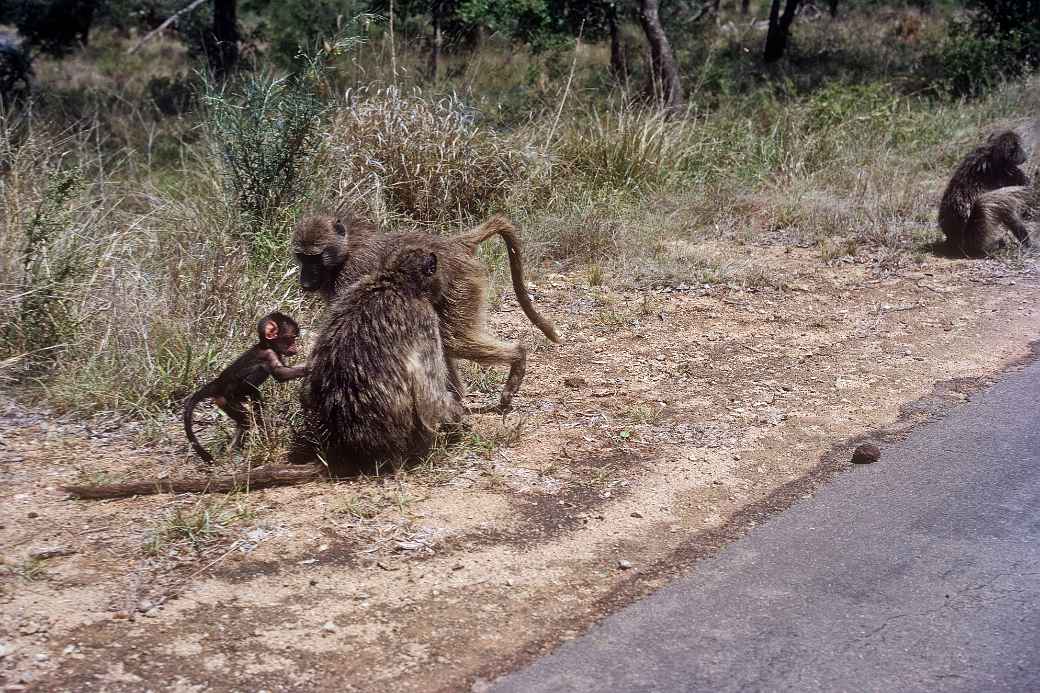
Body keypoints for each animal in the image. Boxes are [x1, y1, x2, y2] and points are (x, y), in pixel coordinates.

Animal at [183, 311, 308, 463]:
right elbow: (280, 374)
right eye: (290, 339)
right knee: (246, 415)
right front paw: (310, 366)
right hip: (227, 400)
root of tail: (217, 383)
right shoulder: (268, 354)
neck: (266, 344)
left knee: (246, 416)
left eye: (294, 339)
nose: (295, 348)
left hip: (223, 402)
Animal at [293, 214, 561, 413]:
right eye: (301, 257)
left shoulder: (351, 277)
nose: (304, 281)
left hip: (460, 286)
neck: (346, 250)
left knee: (454, 339)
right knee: (444, 339)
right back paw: (454, 397)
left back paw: (517, 358)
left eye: (315, 258)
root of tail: (456, 244)